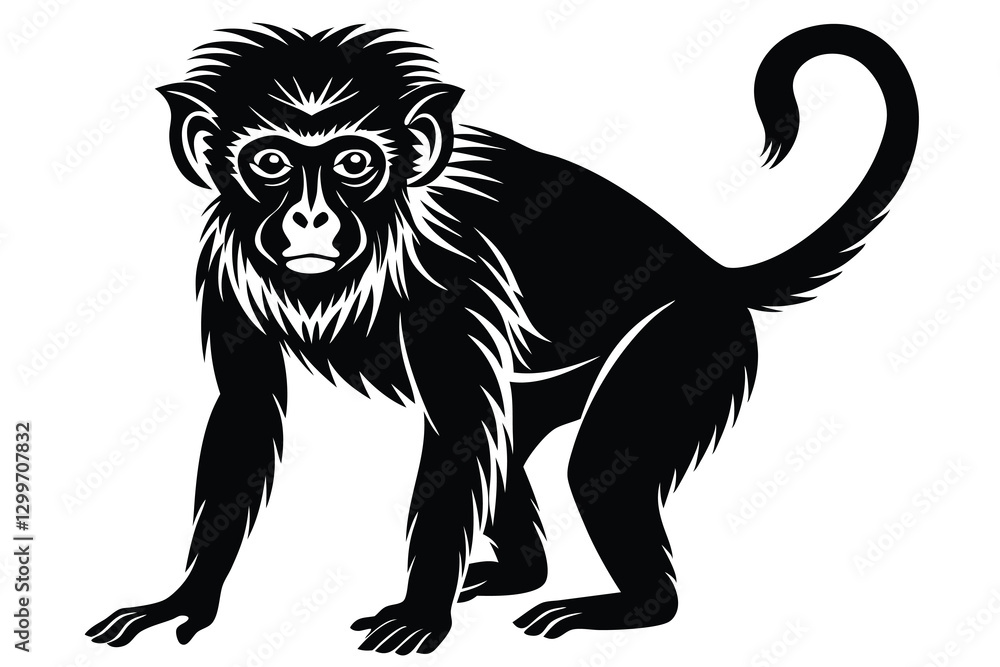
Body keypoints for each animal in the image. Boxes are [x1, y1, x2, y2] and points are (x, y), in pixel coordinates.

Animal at [87, 23, 918, 654]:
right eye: (270, 161)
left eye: (355, 162)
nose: (311, 218)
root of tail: (713, 272)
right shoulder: (225, 272)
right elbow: (247, 413)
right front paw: (187, 597)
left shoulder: (449, 277)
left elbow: (456, 430)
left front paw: (422, 610)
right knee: (508, 439)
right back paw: (520, 572)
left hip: (692, 337)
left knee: (593, 463)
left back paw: (636, 605)